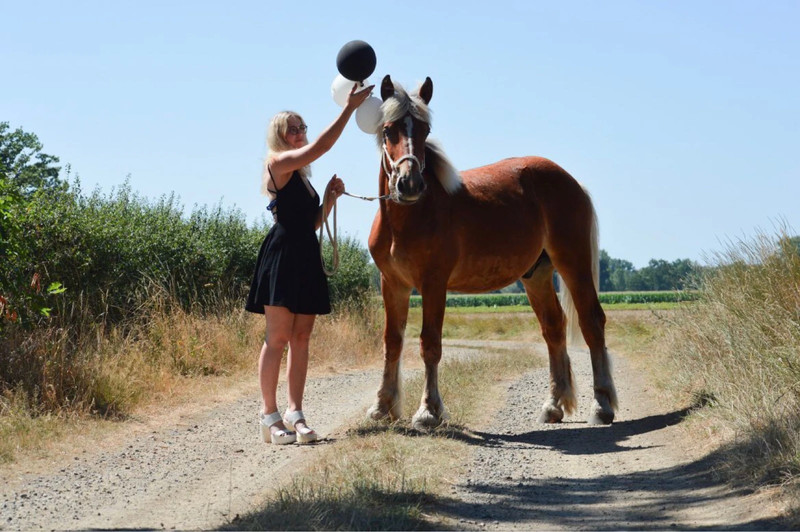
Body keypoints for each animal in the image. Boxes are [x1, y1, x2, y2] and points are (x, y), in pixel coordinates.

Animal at [366, 77, 616, 430]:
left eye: (425, 130)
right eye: (389, 130)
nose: (410, 184)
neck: (408, 218)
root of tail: (571, 181)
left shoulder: (433, 284)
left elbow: (430, 343)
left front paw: (428, 411)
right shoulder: (393, 284)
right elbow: (392, 342)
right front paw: (383, 406)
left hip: (573, 264)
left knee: (592, 322)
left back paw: (602, 406)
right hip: (536, 275)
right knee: (554, 328)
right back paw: (553, 405)